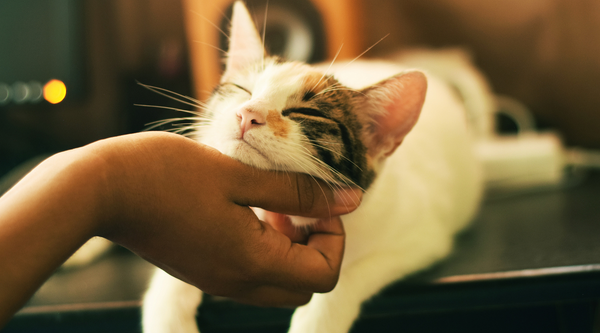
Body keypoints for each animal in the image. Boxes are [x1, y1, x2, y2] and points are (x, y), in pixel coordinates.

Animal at [142, 2, 482, 332]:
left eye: (305, 112)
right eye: (242, 89)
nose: (247, 114)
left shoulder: (422, 240)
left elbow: (348, 277)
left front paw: (318, 320)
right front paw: (168, 316)